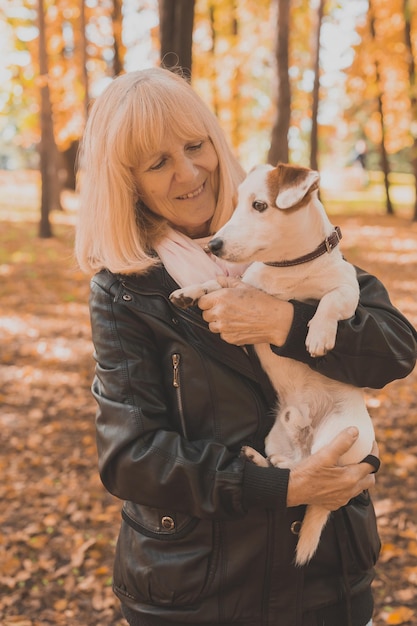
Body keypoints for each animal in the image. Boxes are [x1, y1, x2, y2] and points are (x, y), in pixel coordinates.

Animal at [169, 162, 374, 564]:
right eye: (237, 204)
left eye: (260, 205)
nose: (213, 245)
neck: (288, 268)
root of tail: (305, 437)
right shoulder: (240, 286)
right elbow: (215, 283)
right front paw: (189, 291)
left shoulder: (348, 291)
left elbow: (330, 301)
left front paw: (318, 334)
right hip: (275, 435)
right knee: (292, 472)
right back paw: (261, 460)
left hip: (341, 435)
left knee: (313, 469)